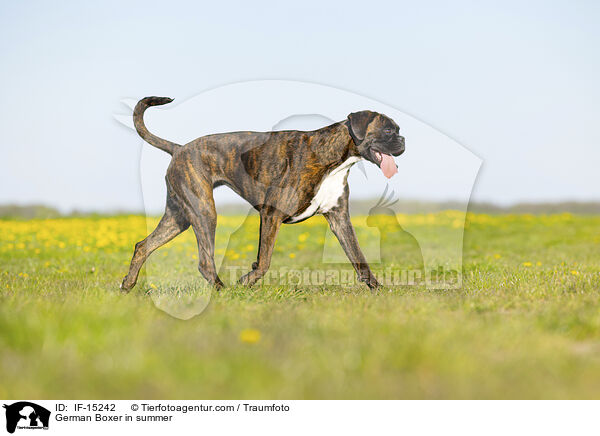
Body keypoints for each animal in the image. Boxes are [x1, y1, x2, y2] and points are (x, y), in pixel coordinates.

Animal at [120, 97, 406, 292]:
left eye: (398, 130)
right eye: (388, 131)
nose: (403, 141)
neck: (335, 157)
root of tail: (179, 149)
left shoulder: (339, 219)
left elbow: (359, 258)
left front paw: (378, 289)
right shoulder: (271, 214)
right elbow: (265, 260)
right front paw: (246, 281)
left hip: (178, 216)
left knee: (143, 245)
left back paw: (127, 285)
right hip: (203, 212)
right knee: (204, 261)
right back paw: (223, 291)